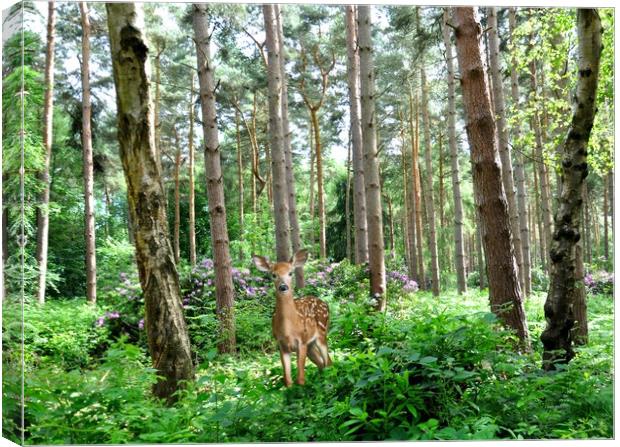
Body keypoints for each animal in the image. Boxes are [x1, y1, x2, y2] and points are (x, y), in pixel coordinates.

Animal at [252, 250, 332, 386]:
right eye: (273, 275)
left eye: (290, 273)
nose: (283, 287)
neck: (288, 330)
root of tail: (325, 303)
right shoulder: (281, 344)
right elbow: (288, 380)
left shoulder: (302, 341)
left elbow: (300, 378)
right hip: (311, 345)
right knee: (322, 363)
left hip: (321, 334)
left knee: (328, 361)